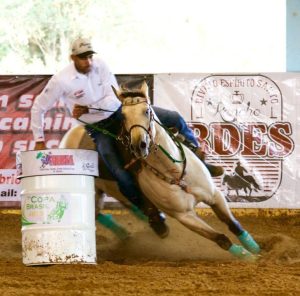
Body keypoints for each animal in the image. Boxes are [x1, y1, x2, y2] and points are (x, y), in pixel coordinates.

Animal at [59, 81, 260, 262]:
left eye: (147, 111)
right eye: (123, 117)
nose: (139, 145)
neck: (173, 171)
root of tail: (69, 137)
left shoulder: (214, 195)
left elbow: (232, 223)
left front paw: (253, 247)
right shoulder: (184, 215)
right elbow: (220, 238)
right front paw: (245, 255)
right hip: (95, 192)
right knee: (98, 213)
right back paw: (138, 231)